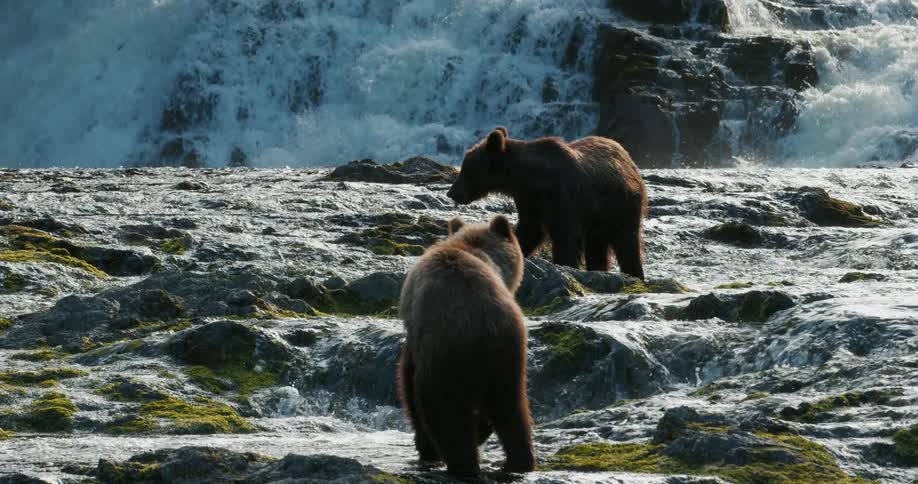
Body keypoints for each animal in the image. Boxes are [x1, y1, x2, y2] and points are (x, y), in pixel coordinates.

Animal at [397, 215, 535, 476]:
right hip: (508, 354)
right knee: (512, 411)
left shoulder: (415, 334)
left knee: (442, 413)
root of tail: (482, 326)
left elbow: (407, 379)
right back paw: (518, 462)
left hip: (443, 358)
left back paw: (454, 460)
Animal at [446, 127, 648, 280]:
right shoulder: (529, 201)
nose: (452, 192)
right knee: (597, 246)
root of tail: (626, 155)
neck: (530, 179)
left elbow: (565, 235)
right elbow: (529, 231)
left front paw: (564, 263)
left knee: (627, 243)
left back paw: (635, 273)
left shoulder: (561, 197)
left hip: (622, 205)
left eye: (467, 170)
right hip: (599, 217)